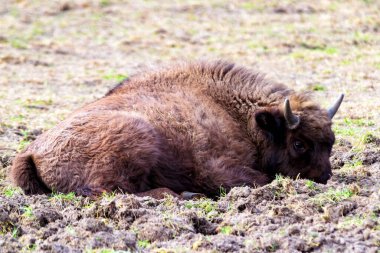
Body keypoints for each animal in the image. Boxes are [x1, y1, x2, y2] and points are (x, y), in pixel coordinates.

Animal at [10, 60, 344, 199]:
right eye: (299, 144)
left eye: (330, 143)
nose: (325, 177)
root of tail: (30, 153)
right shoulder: (218, 169)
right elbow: (261, 179)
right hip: (139, 136)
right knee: (109, 191)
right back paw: (182, 194)